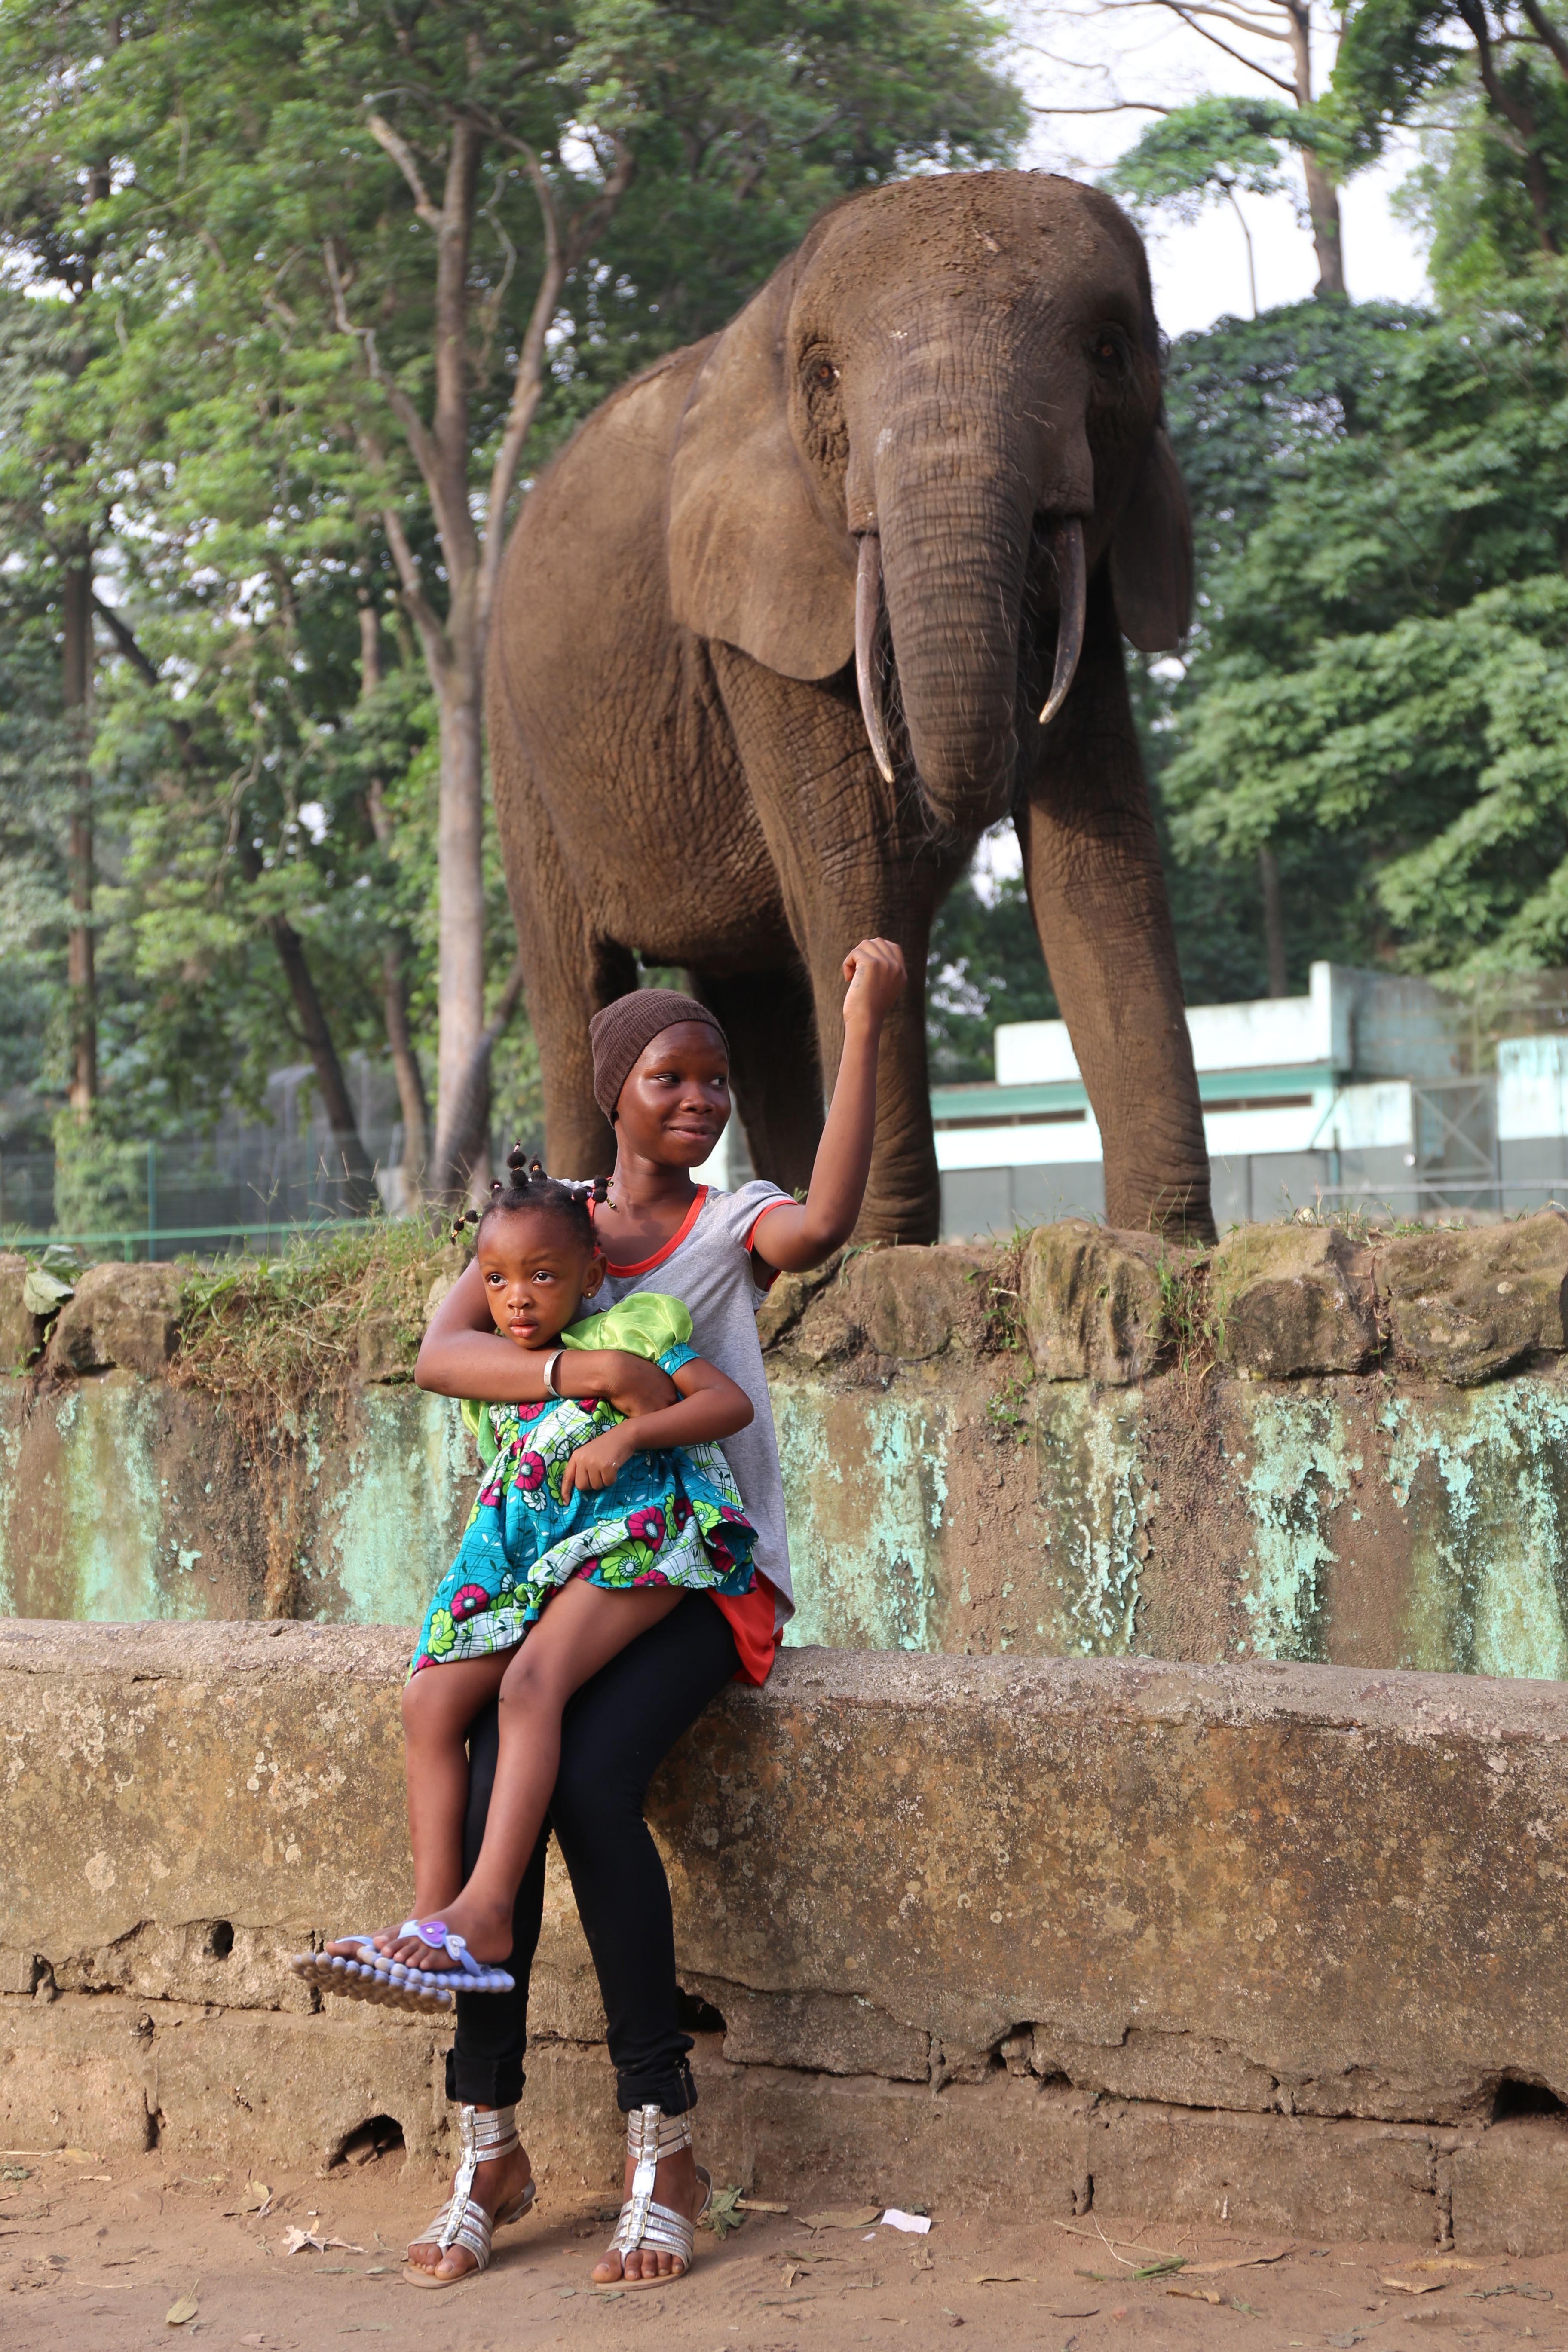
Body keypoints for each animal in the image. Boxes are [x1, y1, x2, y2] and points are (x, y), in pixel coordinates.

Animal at [487, 168, 1213, 1244]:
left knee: (748, 994)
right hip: (518, 749)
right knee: (576, 979)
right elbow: (851, 860)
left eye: (1111, 352)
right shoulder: (757, 605)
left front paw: (1162, 1243)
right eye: (824, 377)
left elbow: (1099, 857)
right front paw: (872, 1250)